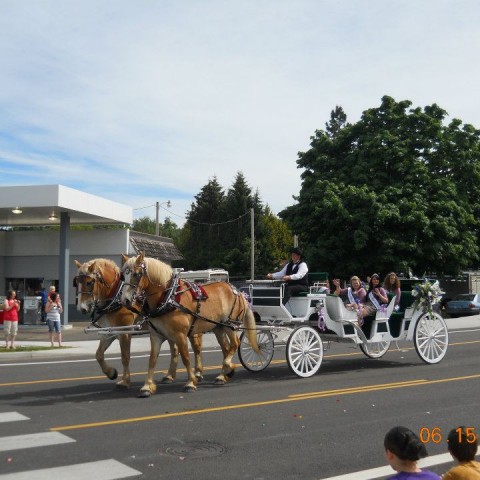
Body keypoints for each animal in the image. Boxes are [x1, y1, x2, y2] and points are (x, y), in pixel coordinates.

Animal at [73, 258, 202, 390]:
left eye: (89, 282)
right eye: (76, 282)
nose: (82, 308)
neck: (115, 297)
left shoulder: (124, 332)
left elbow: (125, 357)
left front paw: (125, 381)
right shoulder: (109, 332)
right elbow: (98, 355)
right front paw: (111, 373)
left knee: (196, 347)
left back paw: (197, 373)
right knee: (175, 350)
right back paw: (170, 376)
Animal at [122, 253, 260, 396]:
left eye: (137, 274)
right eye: (123, 275)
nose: (125, 300)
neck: (168, 297)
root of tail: (237, 291)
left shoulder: (180, 335)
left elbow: (186, 358)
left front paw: (190, 383)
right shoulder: (156, 335)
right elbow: (152, 359)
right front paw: (147, 386)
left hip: (230, 325)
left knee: (235, 344)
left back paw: (228, 367)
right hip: (218, 327)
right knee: (226, 348)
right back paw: (223, 375)